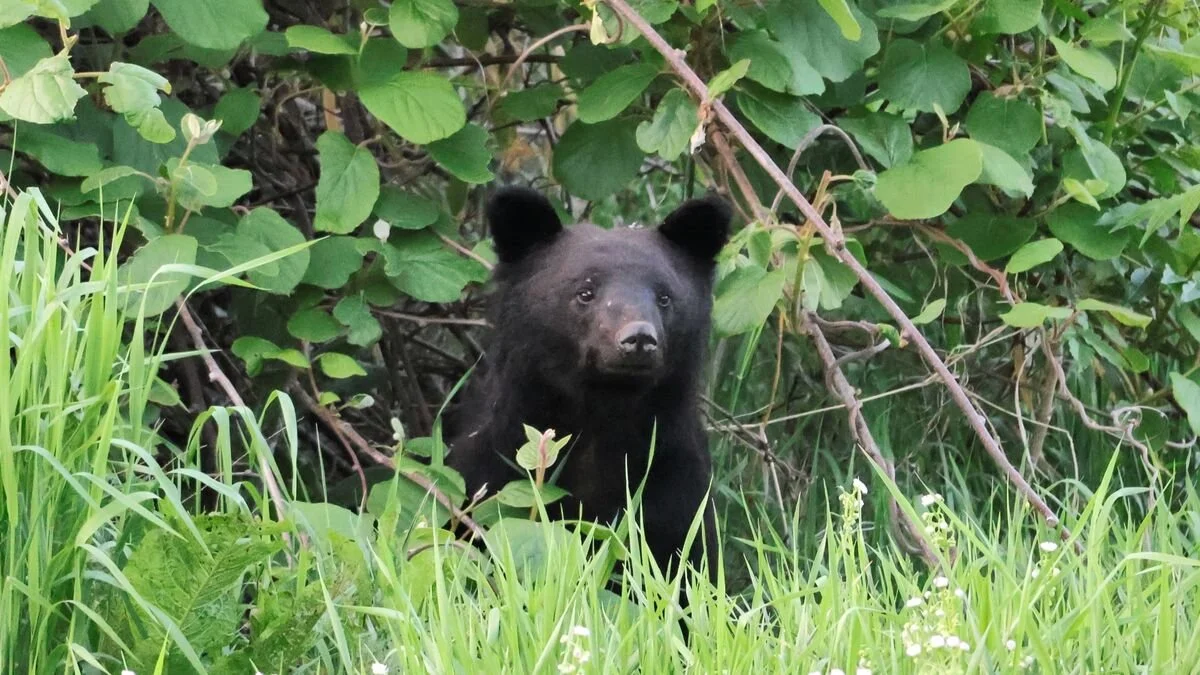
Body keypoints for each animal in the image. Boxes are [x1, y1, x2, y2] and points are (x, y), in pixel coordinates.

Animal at [444, 186, 732, 583]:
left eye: (664, 297)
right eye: (585, 291)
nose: (638, 339)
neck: (602, 415)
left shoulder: (675, 483)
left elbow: (687, 562)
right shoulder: (492, 466)